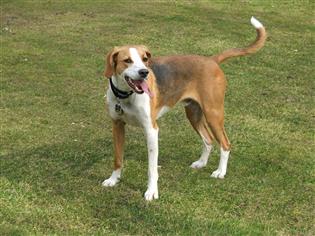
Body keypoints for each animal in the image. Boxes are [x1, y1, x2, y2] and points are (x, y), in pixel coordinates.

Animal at [103, 17, 266, 201]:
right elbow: (118, 158)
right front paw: (113, 180)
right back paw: (201, 163)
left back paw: (220, 172)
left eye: (145, 59)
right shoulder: (117, 125)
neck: (125, 96)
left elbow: (151, 169)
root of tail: (212, 60)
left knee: (225, 143)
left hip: (213, 114)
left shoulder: (151, 130)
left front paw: (151, 191)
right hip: (193, 113)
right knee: (208, 139)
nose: (145, 72)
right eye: (127, 60)